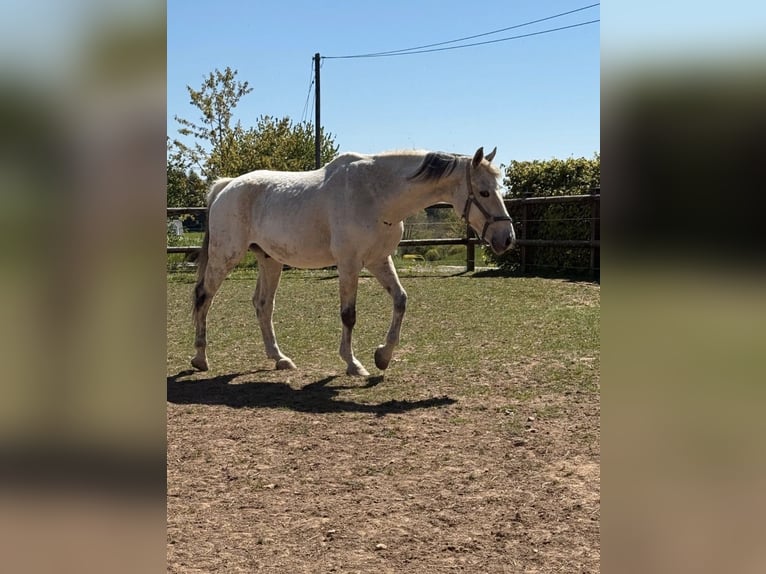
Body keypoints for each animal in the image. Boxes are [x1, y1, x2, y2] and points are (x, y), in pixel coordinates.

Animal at [191, 146, 516, 376]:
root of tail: (227, 186)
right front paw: (353, 364)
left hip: (270, 260)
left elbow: (400, 300)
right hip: (225, 256)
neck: (376, 194)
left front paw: (383, 356)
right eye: (484, 191)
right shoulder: (349, 264)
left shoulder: (378, 260)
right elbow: (349, 315)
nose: (507, 238)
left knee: (263, 305)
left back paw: (279, 358)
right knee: (204, 297)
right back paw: (200, 358)